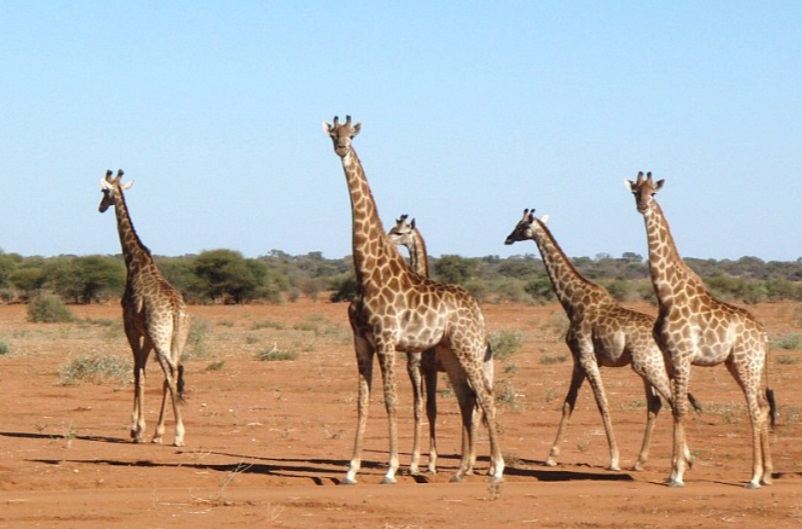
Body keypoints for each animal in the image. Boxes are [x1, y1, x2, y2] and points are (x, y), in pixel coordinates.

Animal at [99, 169, 190, 447]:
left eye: (103, 191)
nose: (100, 207)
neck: (136, 262)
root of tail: (176, 311)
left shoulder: (130, 327)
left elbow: (137, 372)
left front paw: (136, 429)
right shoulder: (147, 335)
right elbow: (144, 372)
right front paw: (147, 429)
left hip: (161, 337)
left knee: (169, 373)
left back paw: (179, 434)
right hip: (176, 338)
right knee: (172, 372)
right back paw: (161, 432)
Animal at [323, 116, 503, 485]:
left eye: (351, 135)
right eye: (333, 134)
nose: (342, 149)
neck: (366, 272)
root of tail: (477, 308)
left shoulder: (388, 339)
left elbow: (392, 401)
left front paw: (392, 469)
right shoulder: (361, 341)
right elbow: (363, 402)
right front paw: (351, 469)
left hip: (467, 348)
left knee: (485, 397)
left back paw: (497, 468)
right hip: (450, 352)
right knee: (468, 399)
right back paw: (462, 471)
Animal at [505, 208, 696, 471]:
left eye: (521, 225)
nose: (507, 238)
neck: (572, 302)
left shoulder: (588, 357)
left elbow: (602, 403)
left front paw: (614, 459)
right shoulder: (578, 360)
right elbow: (568, 403)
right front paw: (551, 456)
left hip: (645, 365)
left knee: (673, 401)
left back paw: (685, 458)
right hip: (651, 366)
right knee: (656, 403)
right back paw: (640, 461)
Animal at [626, 171, 775, 488]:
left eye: (653, 193)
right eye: (635, 192)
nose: (642, 206)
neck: (666, 296)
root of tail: (765, 336)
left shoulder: (683, 356)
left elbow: (681, 407)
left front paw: (677, 474)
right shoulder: (669, 358)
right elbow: (675, 406)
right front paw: (674, 469)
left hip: (746, 362)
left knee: (755, 409)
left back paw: (755, 477)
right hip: (741, 364)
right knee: (762, 405)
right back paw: (767, 474)